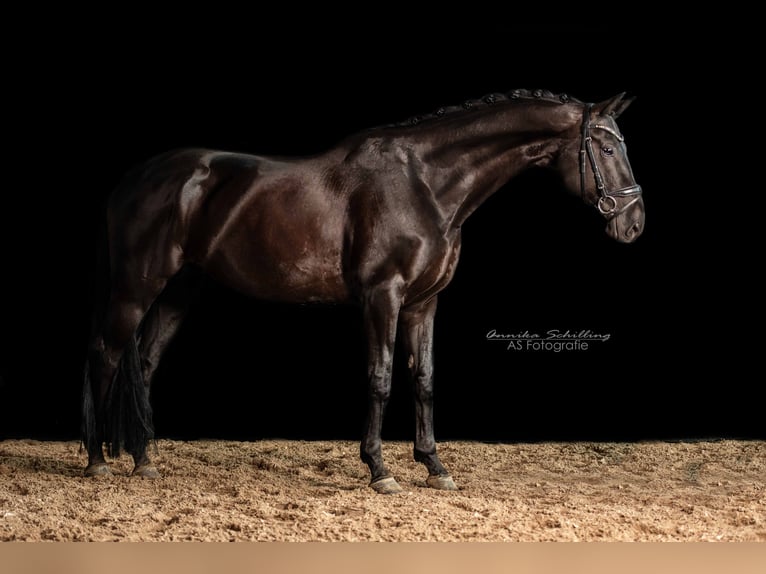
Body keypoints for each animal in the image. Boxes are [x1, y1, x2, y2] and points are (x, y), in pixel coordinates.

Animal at [82, 89, 648, 496]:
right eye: (606, 147)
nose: (634, 223)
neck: (425, 184)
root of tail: (134, 179)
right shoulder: (383, 296)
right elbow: (379, 378)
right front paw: (379, 469)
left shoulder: (424, 302)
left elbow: (424, 379)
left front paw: (434, 465)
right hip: (136, 286)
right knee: (106, 354)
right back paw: (95, 461)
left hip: (179, 291)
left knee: (145, 364)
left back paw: (144, 461)